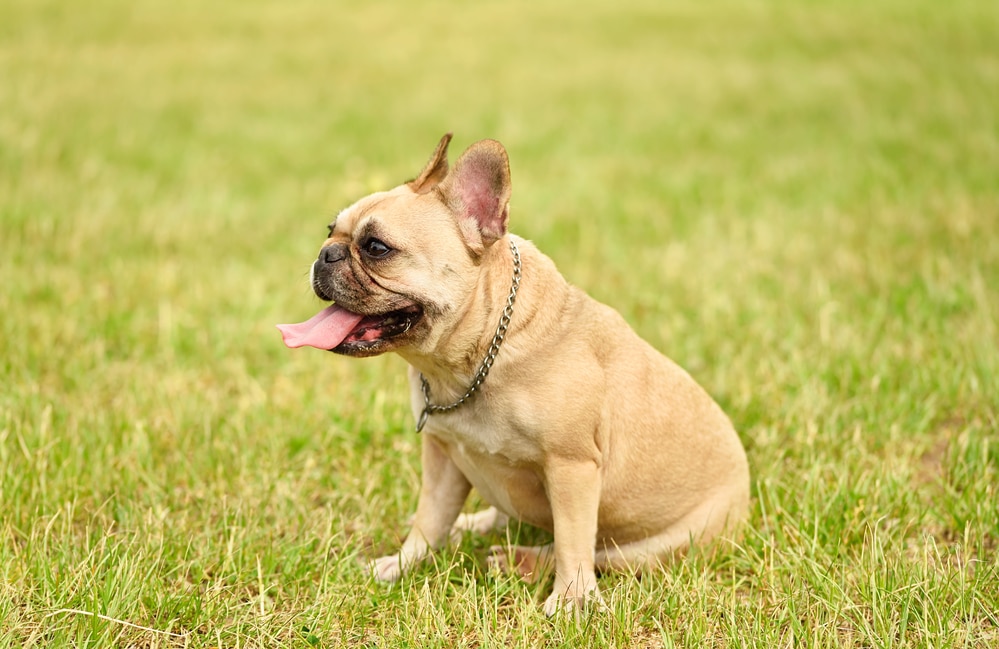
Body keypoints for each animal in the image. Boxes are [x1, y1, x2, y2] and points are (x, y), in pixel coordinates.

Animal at [278, 133, 748, 612]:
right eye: (330, 230)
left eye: (376, 247)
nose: (325, 254)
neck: (471, 361)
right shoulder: (443, 456)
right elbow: (429, 522)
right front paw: (401, 564)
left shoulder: (572, 467)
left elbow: (573, 542)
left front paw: (570, 602)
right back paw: (476, 525)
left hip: (666, 544)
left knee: (598, 554)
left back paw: (522, 561)